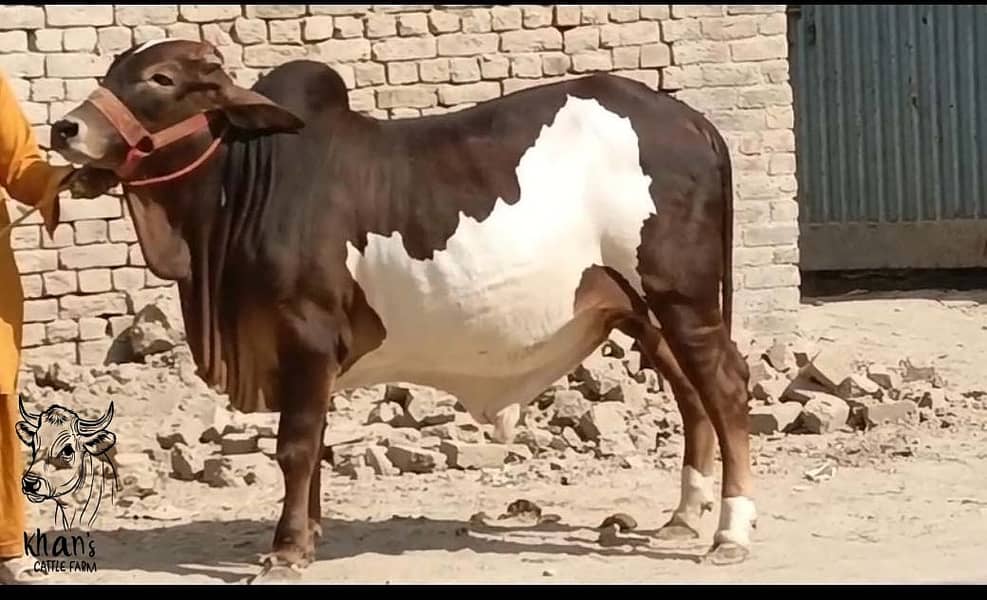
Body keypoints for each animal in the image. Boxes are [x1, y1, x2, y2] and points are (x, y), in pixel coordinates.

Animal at [50, 39, 754, 579]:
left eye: (161, 79)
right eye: (111, 72)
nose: (65, 128)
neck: (250, 181)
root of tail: (691, 120)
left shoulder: (306, 338)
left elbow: (295, 447)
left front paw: (286, 551)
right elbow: (316, 445)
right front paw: (310, 534)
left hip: (682, 299)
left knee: (724, 388)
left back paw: (730, 533)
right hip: (642, 311)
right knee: (692, 395)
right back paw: (683, 518)